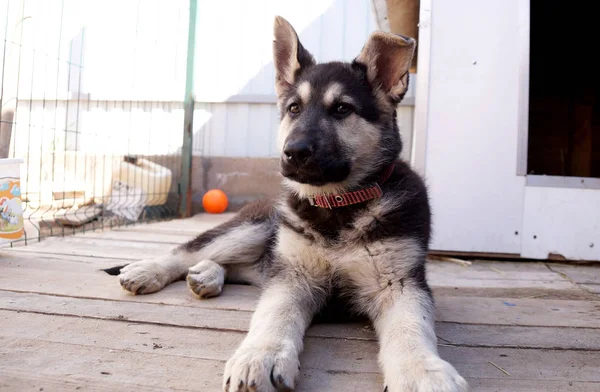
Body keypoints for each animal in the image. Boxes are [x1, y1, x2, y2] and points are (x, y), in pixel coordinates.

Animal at [112, 16, 468, 392]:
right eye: (294, 109)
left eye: (342, 109)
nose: (293, 152)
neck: (337, 203)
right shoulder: (292, 276)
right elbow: (275, 313)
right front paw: (261, 355)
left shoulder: (400, 283)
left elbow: (411, 326)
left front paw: (422, 371)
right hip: (256, 226)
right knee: (192, 251)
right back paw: (151, 270)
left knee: (239, 266)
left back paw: (208, 275)